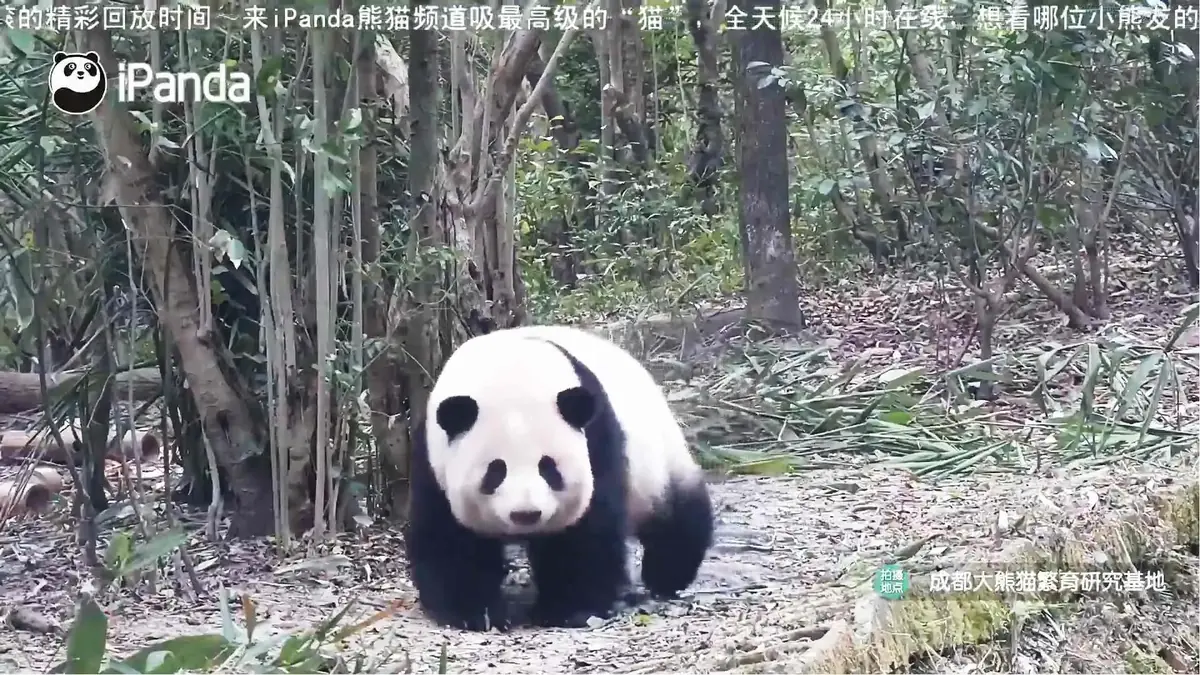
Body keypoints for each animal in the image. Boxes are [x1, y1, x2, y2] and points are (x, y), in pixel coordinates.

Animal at [407, 325, 714, 632]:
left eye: (549, 468)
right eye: (495, 471)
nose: (526, 514)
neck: (511, 369)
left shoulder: (596, 439)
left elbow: (585, 533)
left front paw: (568, 609)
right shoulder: (433, 458)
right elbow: (449, 540)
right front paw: (477, 613)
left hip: (657, 458)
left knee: (676, 515)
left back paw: (668, 576)